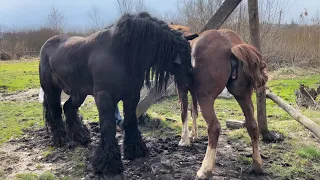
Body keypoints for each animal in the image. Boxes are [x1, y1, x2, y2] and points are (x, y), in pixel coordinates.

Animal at [40, 12, 198, 174]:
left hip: (78, 93)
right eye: (180, 60)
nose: (191, 80)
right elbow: (108, 126)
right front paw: (108, 163)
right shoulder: (104, 96)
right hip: (51, 90)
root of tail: (47, 44)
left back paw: (81, 137)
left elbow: (130, 120)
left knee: (68, 108)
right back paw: (60, 139)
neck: (120, 54)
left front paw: (135, 150)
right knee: (56, 112)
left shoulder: (132, 96)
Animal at [170, 23, 268, 179]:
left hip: (206, 98)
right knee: (252, 125)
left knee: (214, 127)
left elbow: (184, 113)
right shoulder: (193, 92)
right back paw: (257, 165)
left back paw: (205, 170)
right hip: (243, 95)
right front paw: (193, 135)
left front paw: (184, 140)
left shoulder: (182, 89)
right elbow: (193, 111)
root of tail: (231, 46)